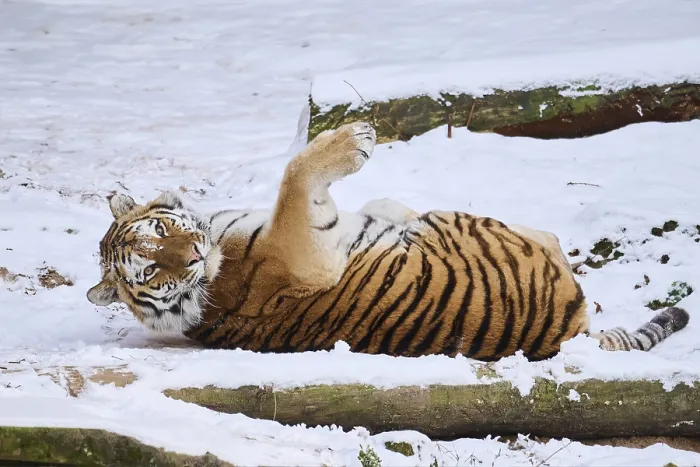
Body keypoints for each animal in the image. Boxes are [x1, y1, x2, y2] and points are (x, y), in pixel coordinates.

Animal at [87, 122, 689, 361]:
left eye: (159, 232)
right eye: (150, 270)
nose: (191, 254)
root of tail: (572, 332)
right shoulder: (302, 254)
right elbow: (294, 174)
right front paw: (353, 140)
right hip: (459, 223)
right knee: (548, 235)